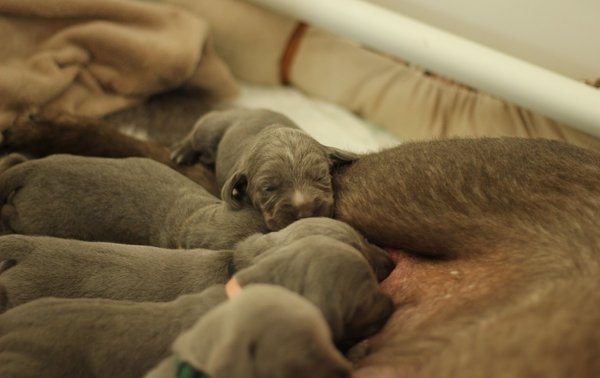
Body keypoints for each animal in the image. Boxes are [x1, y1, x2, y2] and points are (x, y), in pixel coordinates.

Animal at [171, 107, 358, 230]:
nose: (305, 210)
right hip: (211, 128)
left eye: (321, 177)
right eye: (268, 188)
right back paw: (182, 151)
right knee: (198, 131)